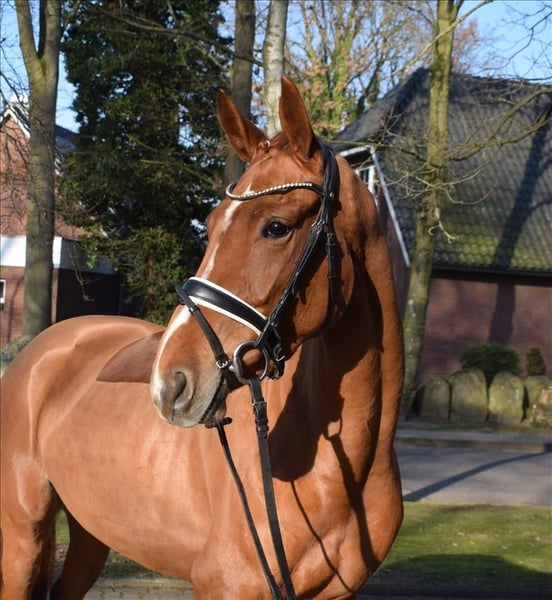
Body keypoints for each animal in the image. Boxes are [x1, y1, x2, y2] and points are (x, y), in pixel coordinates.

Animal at [0, 76, 404, 599]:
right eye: (210, 226)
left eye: (276, 227)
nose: (170, 383)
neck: (342, 471)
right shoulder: (225, 586)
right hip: (21, 536)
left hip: (91, 531)